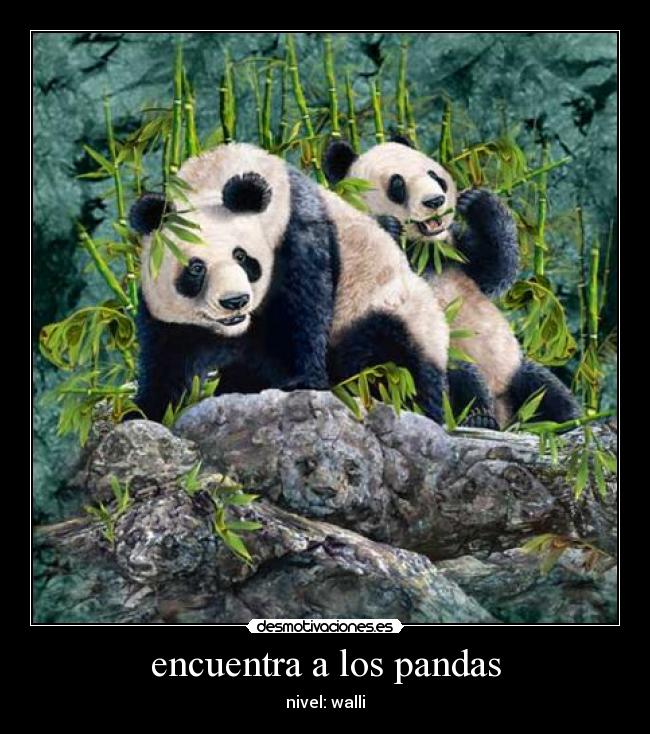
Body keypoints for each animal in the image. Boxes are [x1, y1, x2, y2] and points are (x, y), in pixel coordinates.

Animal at [128, 142, 450, 425]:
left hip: (387, 310)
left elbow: (301, 313)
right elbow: (167, 357)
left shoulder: (295, 234)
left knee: (394, 366)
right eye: (196, 268)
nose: (234, 301)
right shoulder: (167, 313)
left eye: (241, 257)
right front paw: (145, 411)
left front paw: (297, 382)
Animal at [323, 137, 580, 428]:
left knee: (544, 388)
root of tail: (506, 414)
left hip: (513, 370)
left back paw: (565, 419)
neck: (421, 250)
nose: (435, 200)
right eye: (397, 185)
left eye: (435, 176)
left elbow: (495, 267)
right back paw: (479, 416)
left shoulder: (452, 251)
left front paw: (476, 201)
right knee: (457, 377)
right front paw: (388, 225)